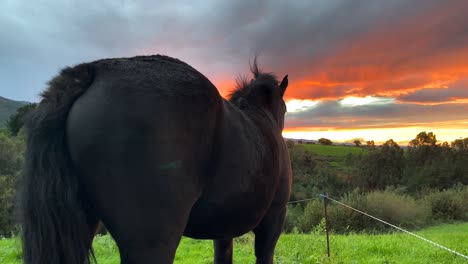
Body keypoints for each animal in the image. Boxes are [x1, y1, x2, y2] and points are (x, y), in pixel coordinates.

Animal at [20, 54, 290, 262]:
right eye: (286, 109)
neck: (261, 116)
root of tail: (92, 71)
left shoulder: (223, 230)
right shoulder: (273, 221)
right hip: (152, 243)